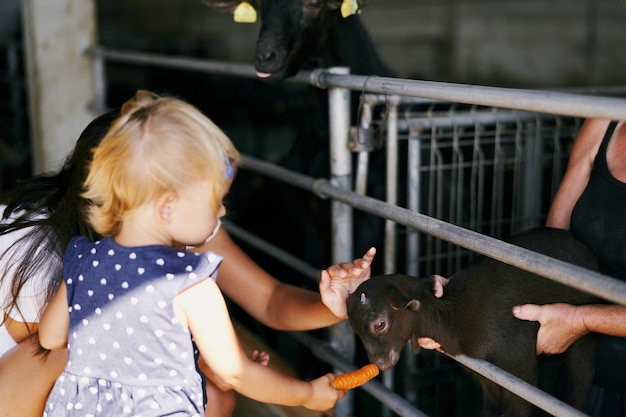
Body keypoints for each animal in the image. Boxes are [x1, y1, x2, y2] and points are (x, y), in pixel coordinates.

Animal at [346, 228, 600, 416]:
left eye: (380, 324)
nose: (379, 363)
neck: (451, 315)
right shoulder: (487, 377)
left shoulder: (521, 375)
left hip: (583, 339)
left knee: (581, 381)